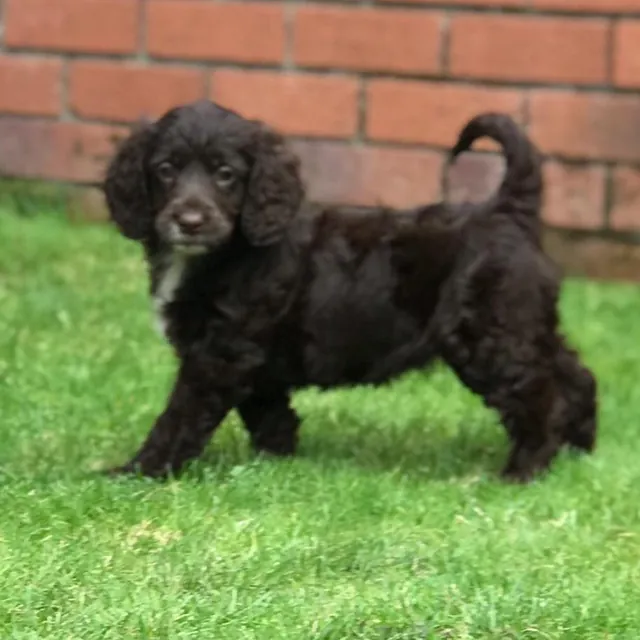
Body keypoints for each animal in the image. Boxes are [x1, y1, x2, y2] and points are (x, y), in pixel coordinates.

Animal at [101, 99, 596, 480]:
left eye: (225, 174)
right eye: (165, 170)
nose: (189, 220)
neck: (225, 252)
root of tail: (505, 210)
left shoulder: (222, 352)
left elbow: (180, 415)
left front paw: (137, 472)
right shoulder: (251, 357)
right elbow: (268, 411)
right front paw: (275, 463)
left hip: (490, 334)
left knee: (537, 393)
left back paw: (523, 471)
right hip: (523, 322)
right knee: (574, 373)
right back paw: (580, 447)